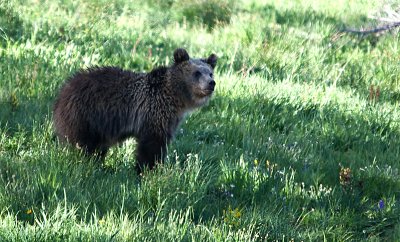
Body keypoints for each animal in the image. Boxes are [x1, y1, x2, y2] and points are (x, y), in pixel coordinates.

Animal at [53, 47, 219, 172]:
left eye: (210, 72)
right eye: (197, 73)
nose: (211, 83)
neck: (175, 97)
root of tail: (62, 92)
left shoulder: (170, 119)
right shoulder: (154, 112)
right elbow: (151, 146)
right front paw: (149, 170)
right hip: (86, 116)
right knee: (83, 145)